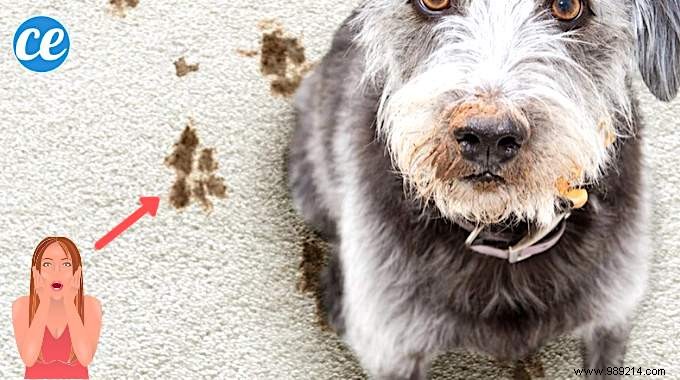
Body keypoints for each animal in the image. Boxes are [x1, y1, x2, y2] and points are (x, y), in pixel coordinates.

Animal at [288, 1, 680, 378]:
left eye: (568, 7)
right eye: (433, 1)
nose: (488, 136)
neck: (501, 229)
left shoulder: (611, 319)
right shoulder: (394, 348)